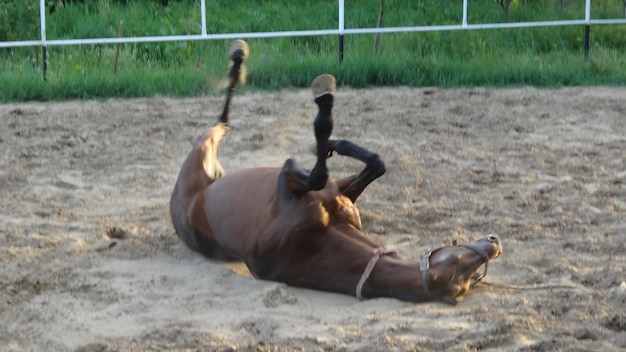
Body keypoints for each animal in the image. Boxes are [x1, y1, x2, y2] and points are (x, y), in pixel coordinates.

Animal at [168, 40, 500, 304]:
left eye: (472, 276)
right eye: (459, 257)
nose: (494, 243)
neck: (315, 238)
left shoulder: (339, 195)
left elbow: (373, 164)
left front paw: (331, 141)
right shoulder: (292, 179)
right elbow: (323, 168)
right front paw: (327, 127)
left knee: (223, 122)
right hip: (202, 151)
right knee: (221, 121)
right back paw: (237, 59)